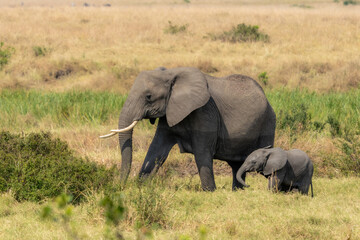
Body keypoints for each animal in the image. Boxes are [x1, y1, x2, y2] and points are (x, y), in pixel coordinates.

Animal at [101, 66, 276, 190]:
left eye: (149, 97)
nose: (121, 186)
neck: (171, 74)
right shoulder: (169, 113)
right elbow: (156, 150)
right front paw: (141, 186)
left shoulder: (205, 112)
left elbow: (202, 152)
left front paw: (210, 192)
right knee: (237, 166)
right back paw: (238, 191)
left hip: (268, 122)